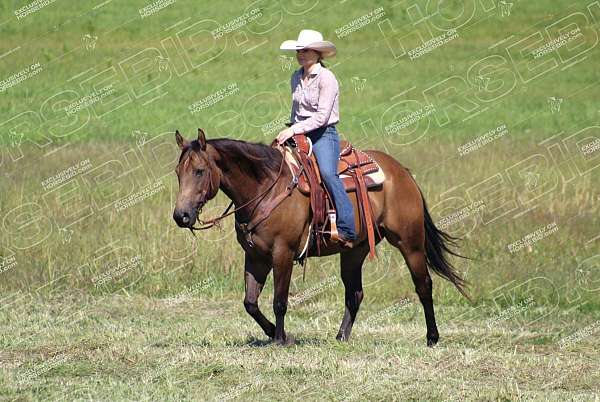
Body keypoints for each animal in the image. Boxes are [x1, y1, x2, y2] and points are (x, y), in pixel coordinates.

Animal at [172, 128, 468, 346]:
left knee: (424, 285)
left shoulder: (283, 253)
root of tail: (402, 173)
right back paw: (341, 337)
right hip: (354, 250)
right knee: (355, 293)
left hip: (410, 243)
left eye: (199, 171)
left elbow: (279, 301)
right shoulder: (255, 256)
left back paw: (432, 337)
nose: (181, 216)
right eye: (178, 172)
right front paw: (272, 332)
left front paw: (280, 339)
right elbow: (250, 303)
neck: (264, 189)